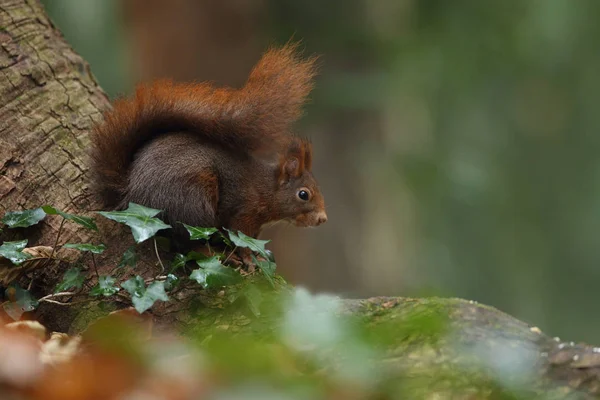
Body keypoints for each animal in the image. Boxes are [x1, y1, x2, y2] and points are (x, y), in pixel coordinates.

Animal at [88, 42, 328, 252]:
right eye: (303, 194)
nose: (323, 219)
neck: (266, 189)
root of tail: (130, 192)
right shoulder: (244, 213)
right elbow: (241, 239)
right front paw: (247, 257)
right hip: (191, 199)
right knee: (187, 238)